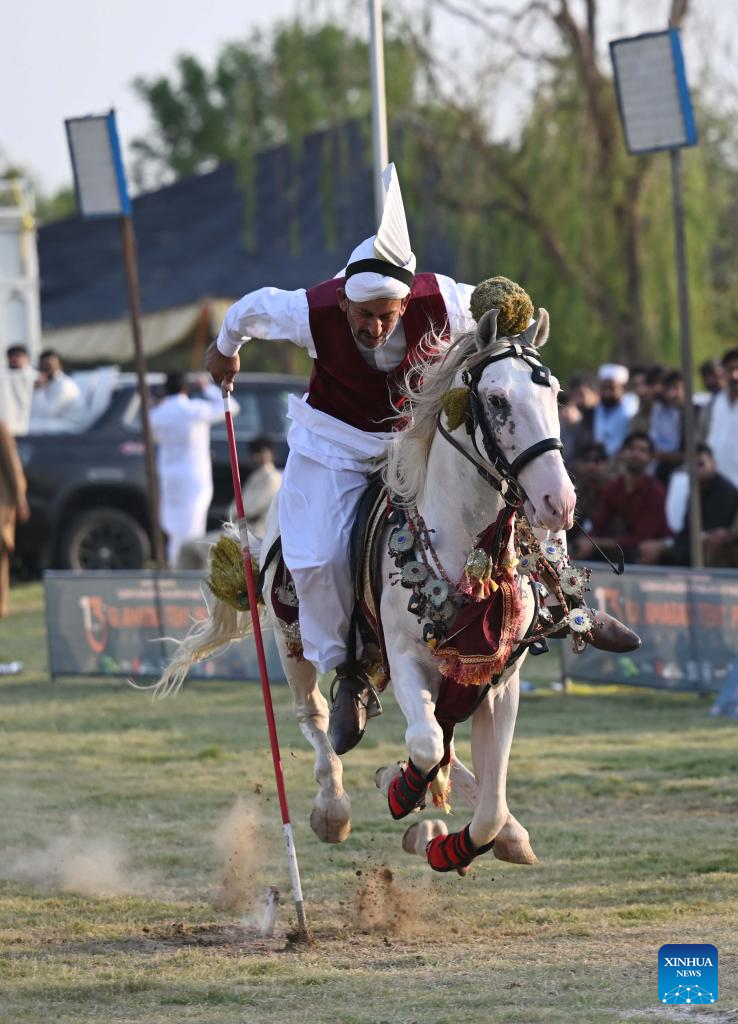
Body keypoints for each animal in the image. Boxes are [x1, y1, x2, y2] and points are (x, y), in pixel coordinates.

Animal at [155, 304, 576, 874]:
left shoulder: (499, 681)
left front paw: (456, 842)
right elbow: (424, 745)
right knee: (316, 714)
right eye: (496, 400)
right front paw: (400, 787)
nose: (558, 502)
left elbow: (489, 800)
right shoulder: (407, 658)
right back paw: (332, 808)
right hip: (293, 638)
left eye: (553, 393)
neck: (467, 553)